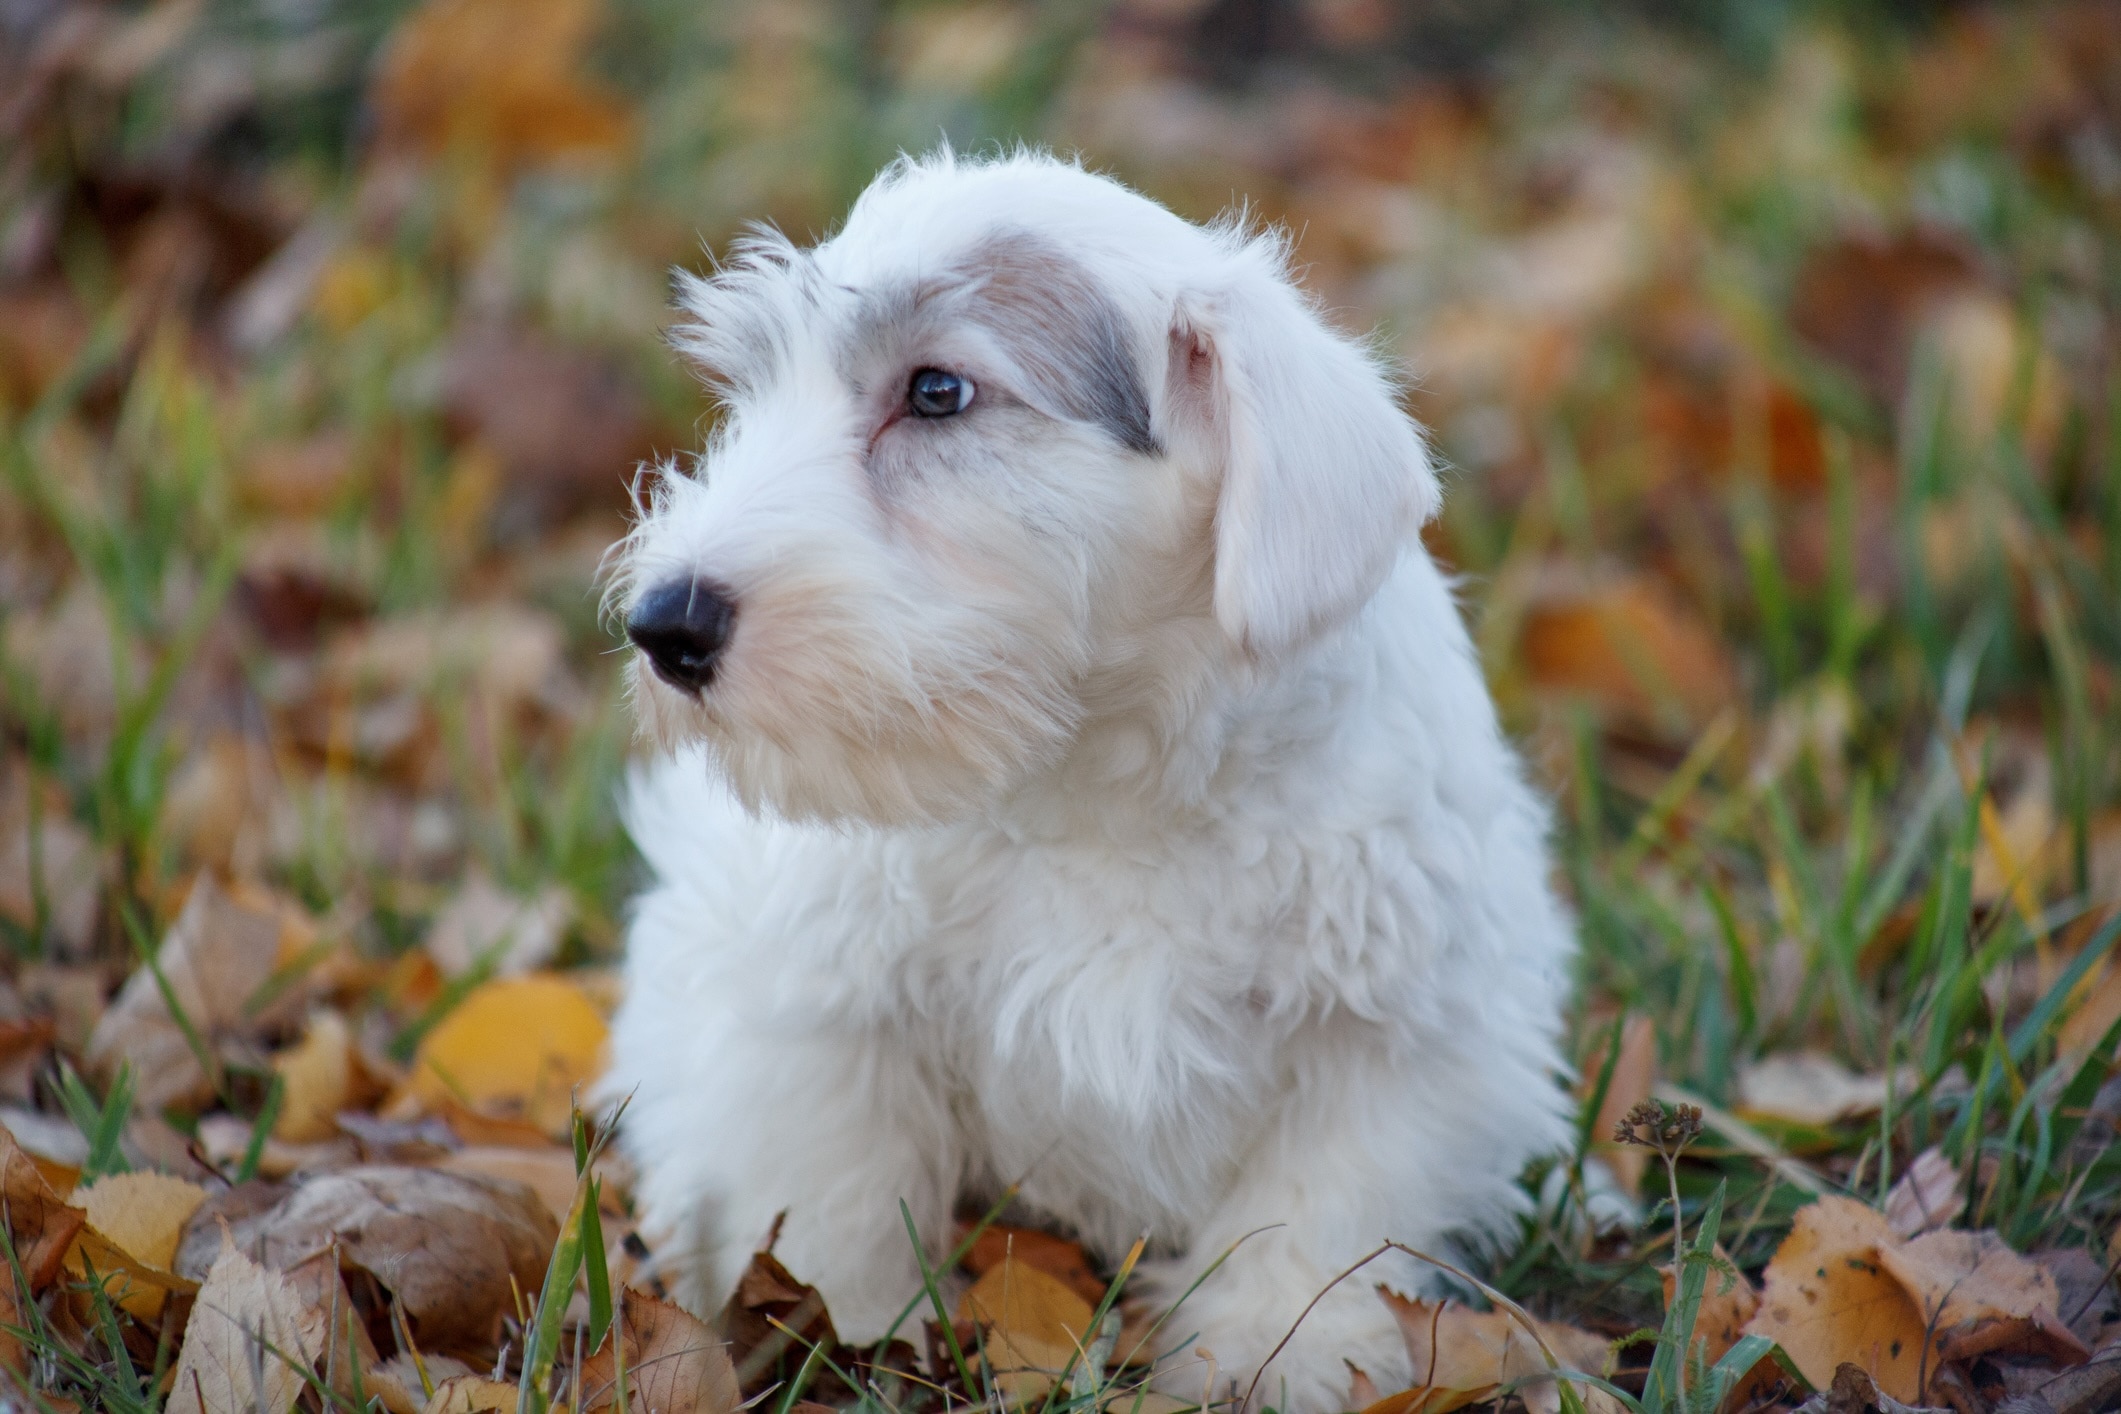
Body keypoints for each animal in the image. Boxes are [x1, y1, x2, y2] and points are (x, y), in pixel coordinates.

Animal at [598, 149, 1578, 1407]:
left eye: (937, 393)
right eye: (756, 392)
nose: (663, 622)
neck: (1092, 781)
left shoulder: (1393, 1035)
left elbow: (1318, 1220)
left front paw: (1271, 1359)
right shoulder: (817, 1003)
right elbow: (830, 1193)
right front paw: (840, 1331)